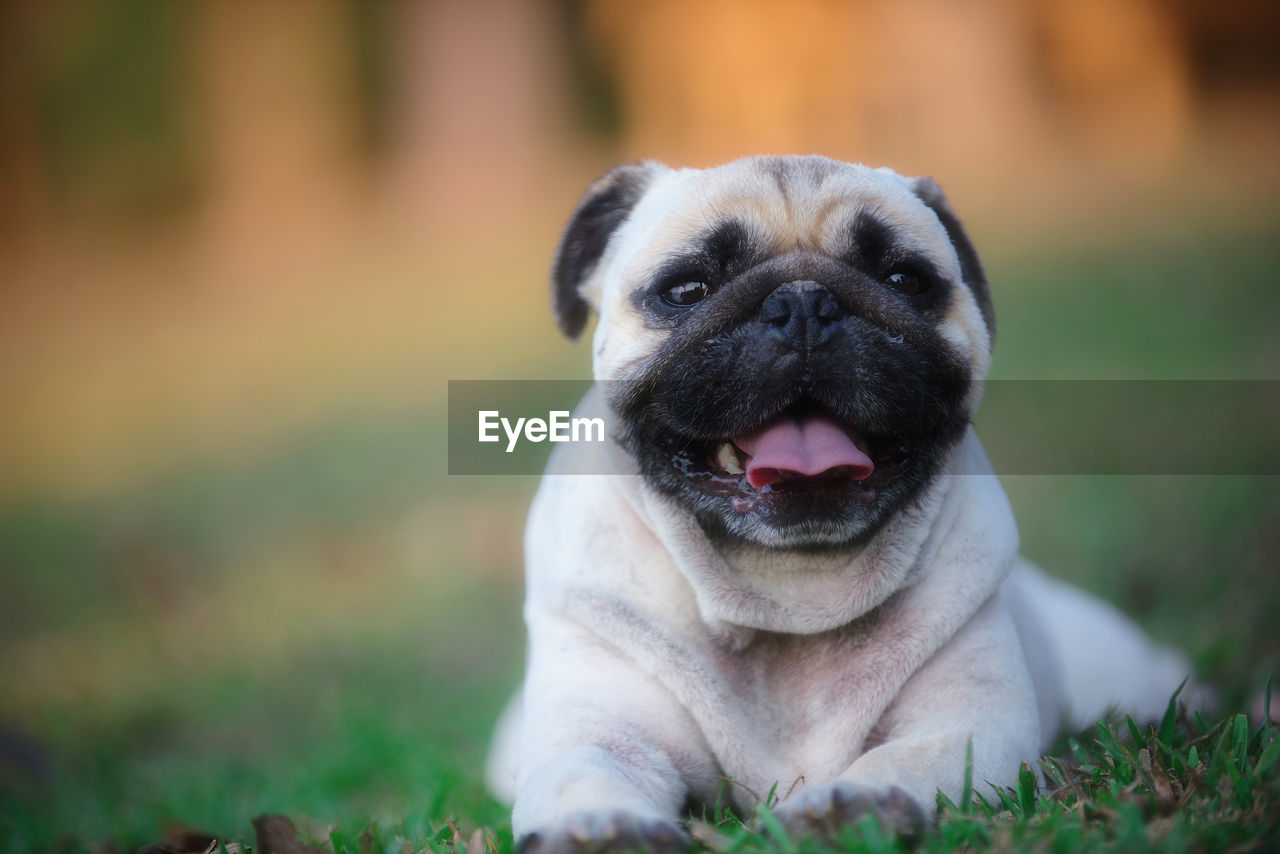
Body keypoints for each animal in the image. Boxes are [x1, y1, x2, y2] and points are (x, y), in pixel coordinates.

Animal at [483, 156, 1192, 850]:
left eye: (904, 279)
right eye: (687, 290)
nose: (804, 302)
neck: (788, 592)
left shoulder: (971, 724)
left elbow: (904, 759)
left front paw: (854, 806)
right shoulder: (601, 730)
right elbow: (584, 772)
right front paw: (599, 828)